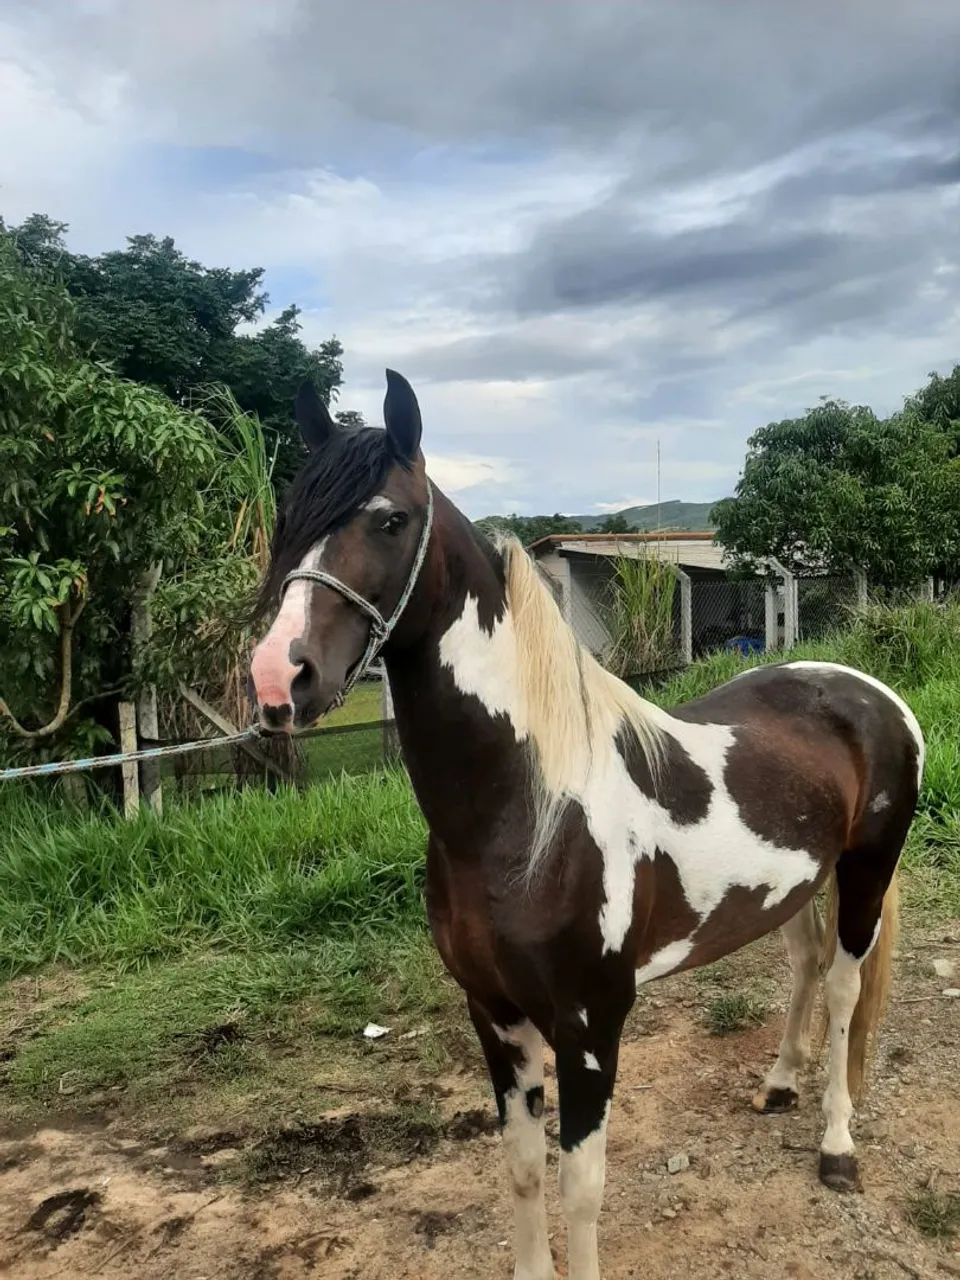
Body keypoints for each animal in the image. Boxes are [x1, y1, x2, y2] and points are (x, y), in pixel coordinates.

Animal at [249, 371, 923, 1280]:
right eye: (289, 517)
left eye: (389, 519)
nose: (277, 679)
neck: (528, 814)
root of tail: (866, 689)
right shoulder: (495, 1015)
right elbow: (523, 1173)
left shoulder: (591, 1022)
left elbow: (581, 1186)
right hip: (794, 886)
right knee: (805, 964)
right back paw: (781, 1083)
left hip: (865, 873)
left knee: (847, 990)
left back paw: (837, 1144)